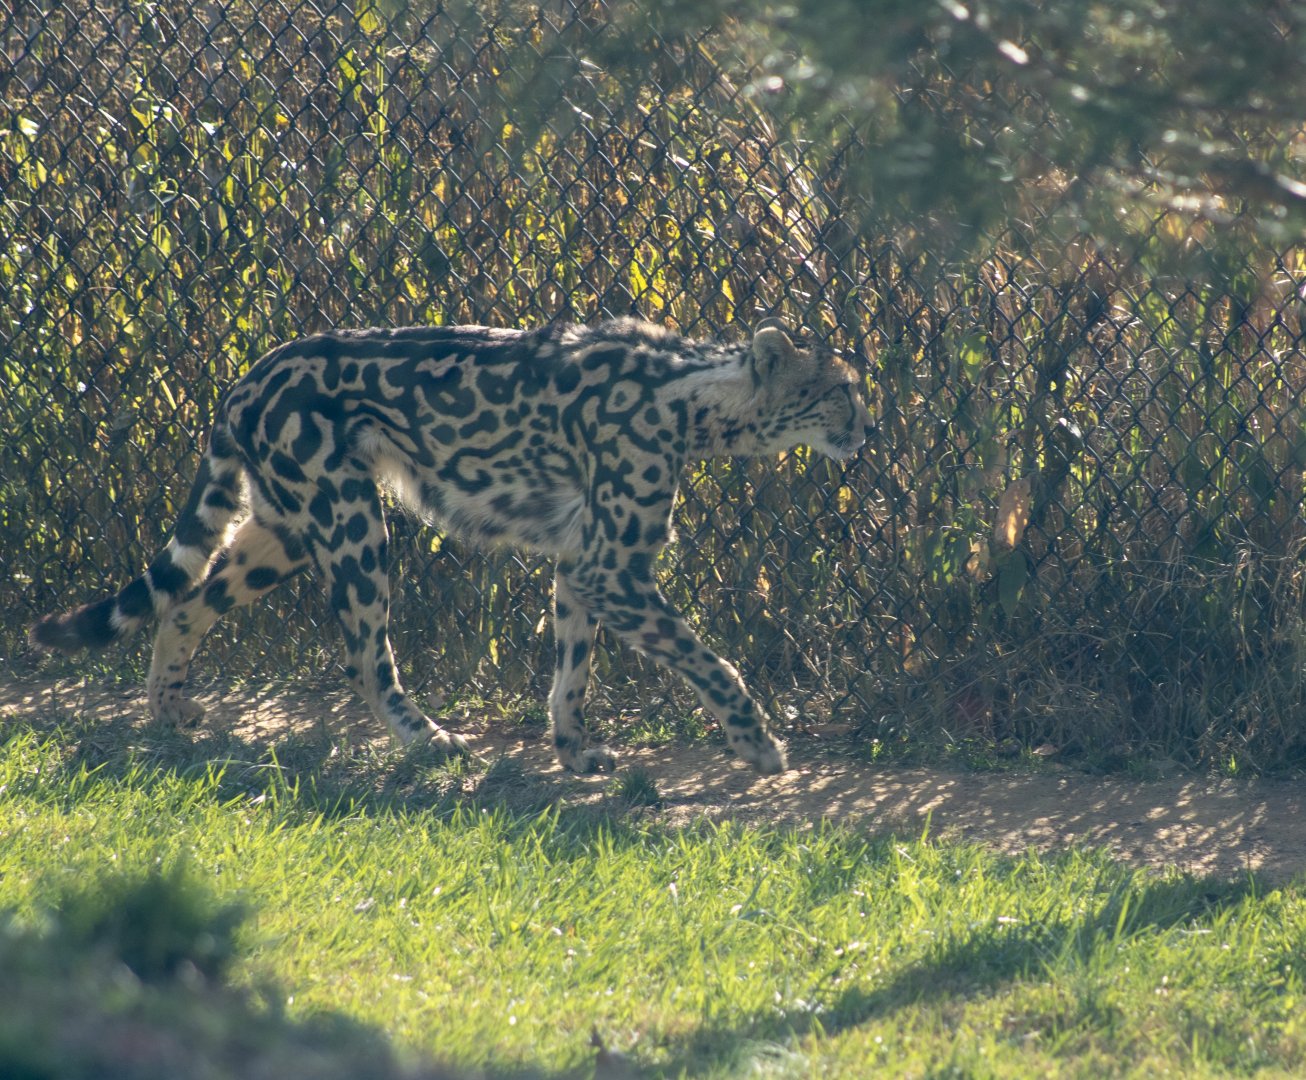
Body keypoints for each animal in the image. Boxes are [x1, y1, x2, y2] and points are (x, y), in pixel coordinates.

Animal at [30, 316, 873, 775]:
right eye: (838, 390)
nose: (868, 429)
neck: (694, 397)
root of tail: (249, 375)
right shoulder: (614, 568)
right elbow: (711, 660)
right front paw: (757, 744)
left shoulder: (582, 563)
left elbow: (573, 670)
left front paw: (573, 750)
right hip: (350, 521)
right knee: (364, 654)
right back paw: (427, 737)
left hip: (286, 526)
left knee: (189, 602)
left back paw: (168, 708)